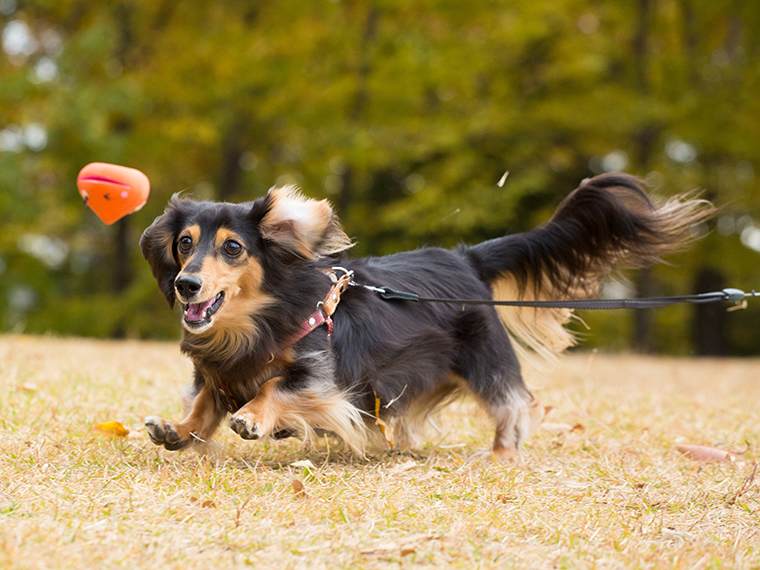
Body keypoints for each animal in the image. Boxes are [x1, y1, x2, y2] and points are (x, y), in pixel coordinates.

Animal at [141, 171, 712, 460]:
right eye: (185, 243)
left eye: (233, 248)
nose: (186, 284)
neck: (253, 324)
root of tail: (466, 258)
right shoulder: (215, 374)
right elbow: (205, 405)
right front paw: (178, 429)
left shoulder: (323, 379)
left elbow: (276, 387)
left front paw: (255, 417)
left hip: (488, 361)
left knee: (514, 404)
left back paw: (501, 453)